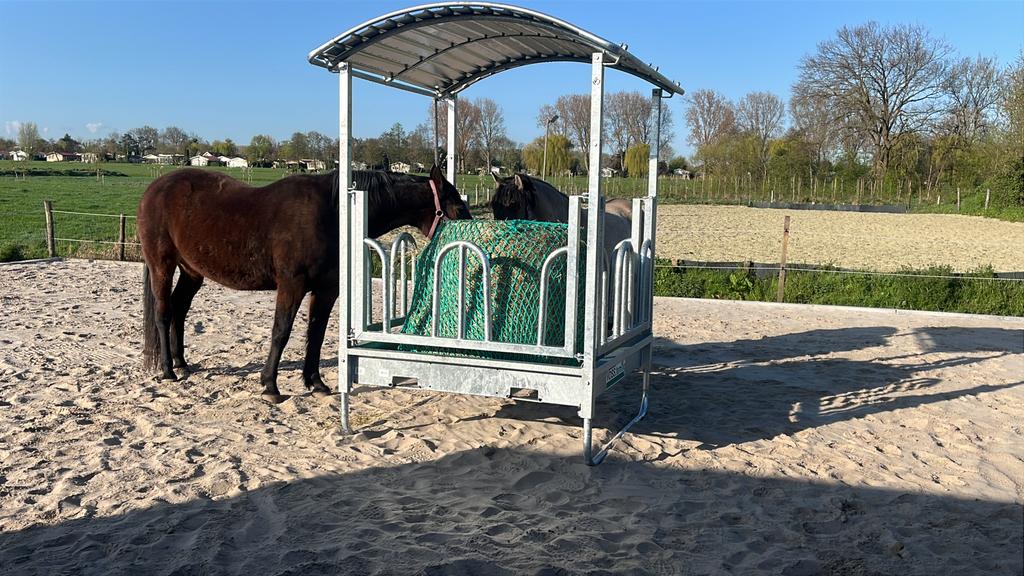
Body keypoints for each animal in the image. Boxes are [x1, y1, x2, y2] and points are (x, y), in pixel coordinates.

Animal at [138, 164, 470, 403]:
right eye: (458, 207)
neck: (332, 213)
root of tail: (154, 188)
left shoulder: (326, 290)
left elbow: (316, 333)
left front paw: (315, 382)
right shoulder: (291, 286)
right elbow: (281, 332)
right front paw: (270, 386)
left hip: (191, 271)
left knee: (180, 310)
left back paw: (182, 363)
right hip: (162, 265)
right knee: (164, 313)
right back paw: (167, 370)